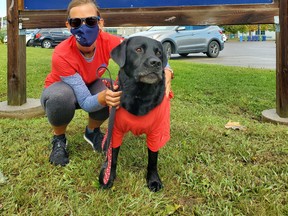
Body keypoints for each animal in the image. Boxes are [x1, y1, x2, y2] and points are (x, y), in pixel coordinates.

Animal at [99, 35, 171, 192]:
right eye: (138, 49)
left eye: (158, 53)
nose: (156, 63)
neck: (140, 94)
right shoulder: (115, 130)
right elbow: (113, 156)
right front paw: (109, 176)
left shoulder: (156, 133)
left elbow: (153, 159)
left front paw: (153, 180)